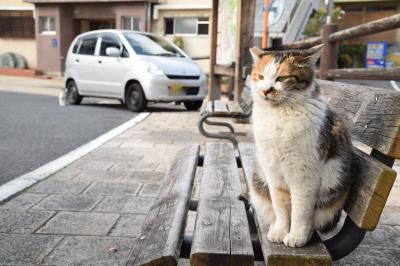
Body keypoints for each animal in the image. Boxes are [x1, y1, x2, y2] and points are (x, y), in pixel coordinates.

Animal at [248, 45, 352, 247]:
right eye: (261, 77)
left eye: (281, 78)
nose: (265, 91)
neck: (279, 116)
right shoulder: (274, 174)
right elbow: (281, 207)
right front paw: (280, 231)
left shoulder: (304, 176)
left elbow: (300, 212)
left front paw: (296, 236)